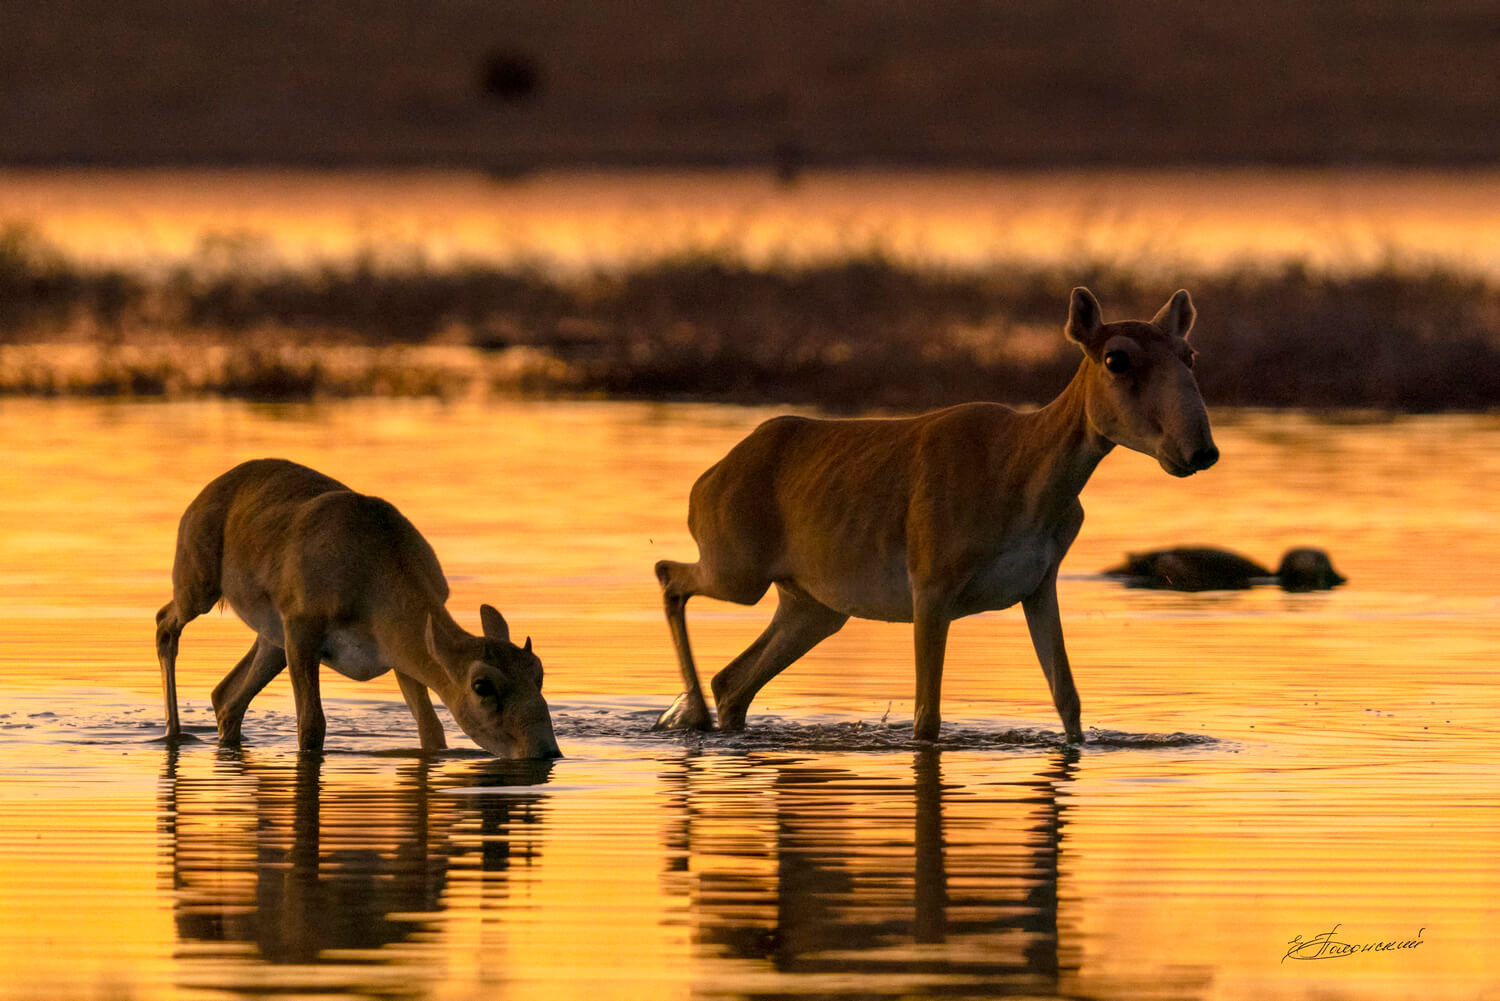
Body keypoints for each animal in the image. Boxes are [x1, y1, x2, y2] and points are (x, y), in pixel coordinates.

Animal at [156, 462, 564, 759]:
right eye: (482, 685)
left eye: (539, 672)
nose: (546, 752)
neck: (373, 569)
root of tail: (214, 486)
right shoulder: (302, 633)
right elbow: (312, 725)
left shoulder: (401, 655)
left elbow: (431, 730)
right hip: (199, 589)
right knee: (165, 624)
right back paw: (173, 733)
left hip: (271, 643)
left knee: (226, 697)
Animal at [657, 285, 1218, 741]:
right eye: (1116, 358)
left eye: (1189, 354)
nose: (1199, 451)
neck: (1022, 465)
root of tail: (711, 477)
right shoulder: (931, 593)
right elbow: (927, 719)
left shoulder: (1039, 590)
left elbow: (1068, 702)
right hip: (738, 576)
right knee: (669, 576)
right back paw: (694, 717)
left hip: (813, 609)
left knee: (733, 680)